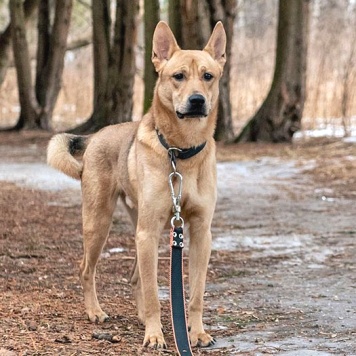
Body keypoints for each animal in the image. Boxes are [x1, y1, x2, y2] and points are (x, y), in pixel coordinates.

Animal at [47, 20, 227, 350]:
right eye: (178, 76)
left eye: (208, 76)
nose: (197, 101)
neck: (180, 152)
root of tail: (96, 136)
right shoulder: (150, 231)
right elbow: (156, 294)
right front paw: (155, 335)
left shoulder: (200, 233)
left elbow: (195, 294)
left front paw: (195, 332)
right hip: (102, 224)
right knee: (87, 269)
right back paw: (95, 312)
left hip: (143, 229)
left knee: (135, 278)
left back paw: (141, 316)